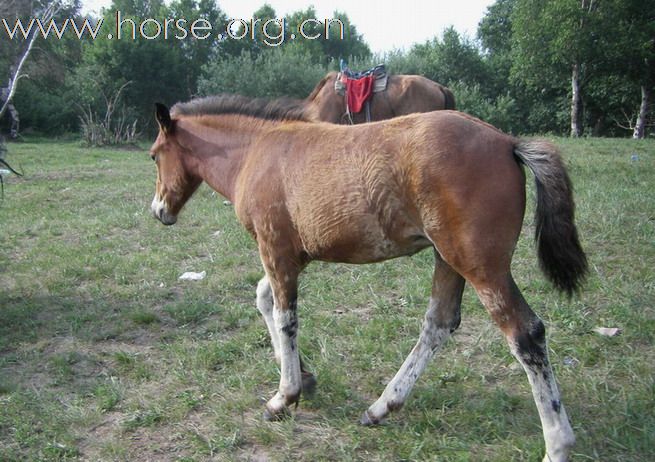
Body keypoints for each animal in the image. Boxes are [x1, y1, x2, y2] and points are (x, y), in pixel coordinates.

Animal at [150, 94, 588, 462]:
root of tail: (507, 142)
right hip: (449, 259)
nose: (159, 211)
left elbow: (286, 317)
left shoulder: (275, 250)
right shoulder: (293, 255)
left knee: (525, 333)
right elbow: (265, 300)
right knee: (439, 324)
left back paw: (557, 445)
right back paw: (381, 407)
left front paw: (283, 397)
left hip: (482, 266)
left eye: (154, 156)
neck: (255, 151)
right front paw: (305, 377)